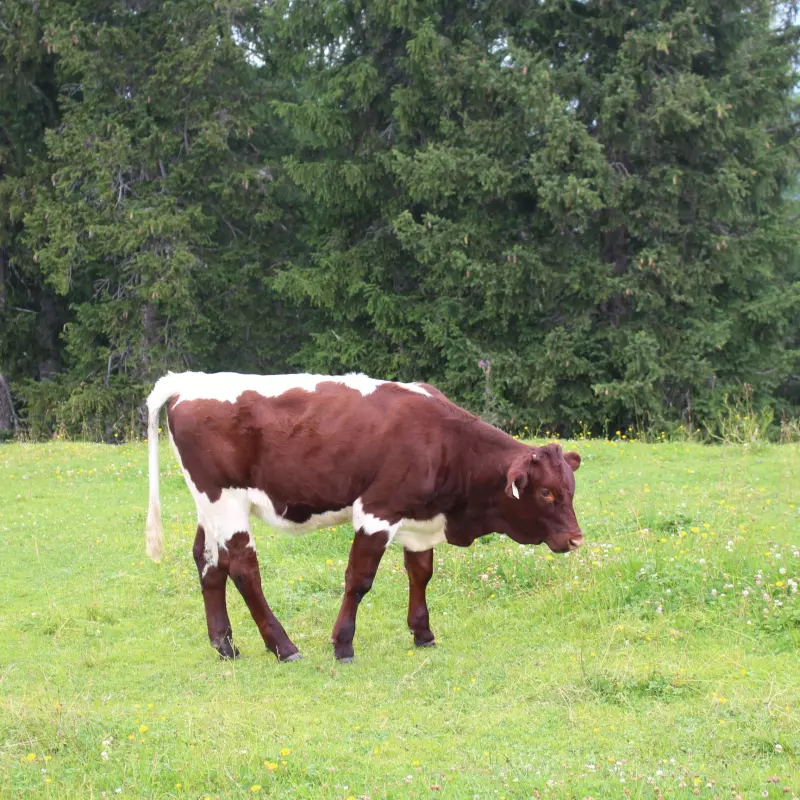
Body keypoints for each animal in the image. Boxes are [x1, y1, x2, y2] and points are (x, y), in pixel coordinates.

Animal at [145, 372, 580, 664]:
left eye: (571, 488)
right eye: (545, 492)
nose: (576, 539)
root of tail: (189, 381)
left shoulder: (417, 517)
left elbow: (421, 572)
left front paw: (423, 632)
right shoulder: (378, 510)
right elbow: (359, 579)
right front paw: (343, 644)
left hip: (209, 505)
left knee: (208, 562)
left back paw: (225, 645)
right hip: (226, 500)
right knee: (242, 569)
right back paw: (283, 646)